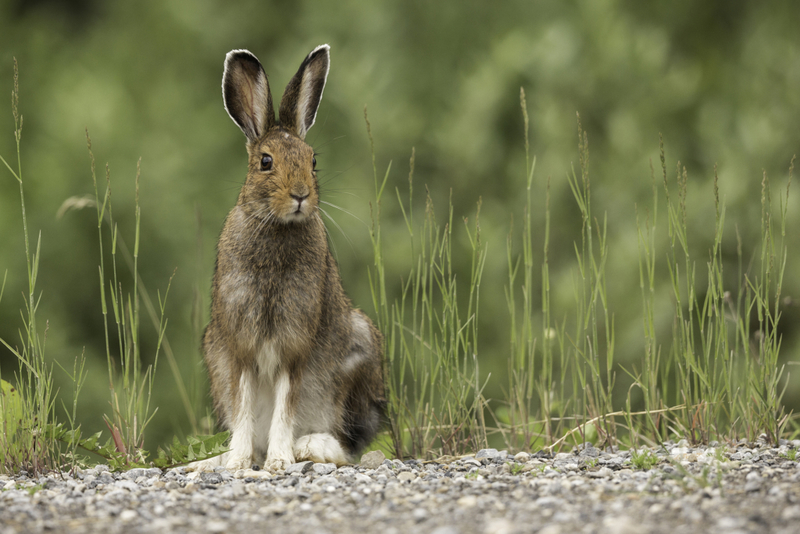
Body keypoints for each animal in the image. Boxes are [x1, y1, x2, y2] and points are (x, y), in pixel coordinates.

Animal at [189, 45, 386, 474]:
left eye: (313, 160)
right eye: (266, 162)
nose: (300, 194)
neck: (276, 227)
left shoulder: (294, 344)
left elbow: (286, 402)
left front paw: (279, 461)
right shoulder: (240, 345)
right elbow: (245, 404)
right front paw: (239, 462)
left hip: (359, 351)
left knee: (349, 444)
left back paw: (309, 447)